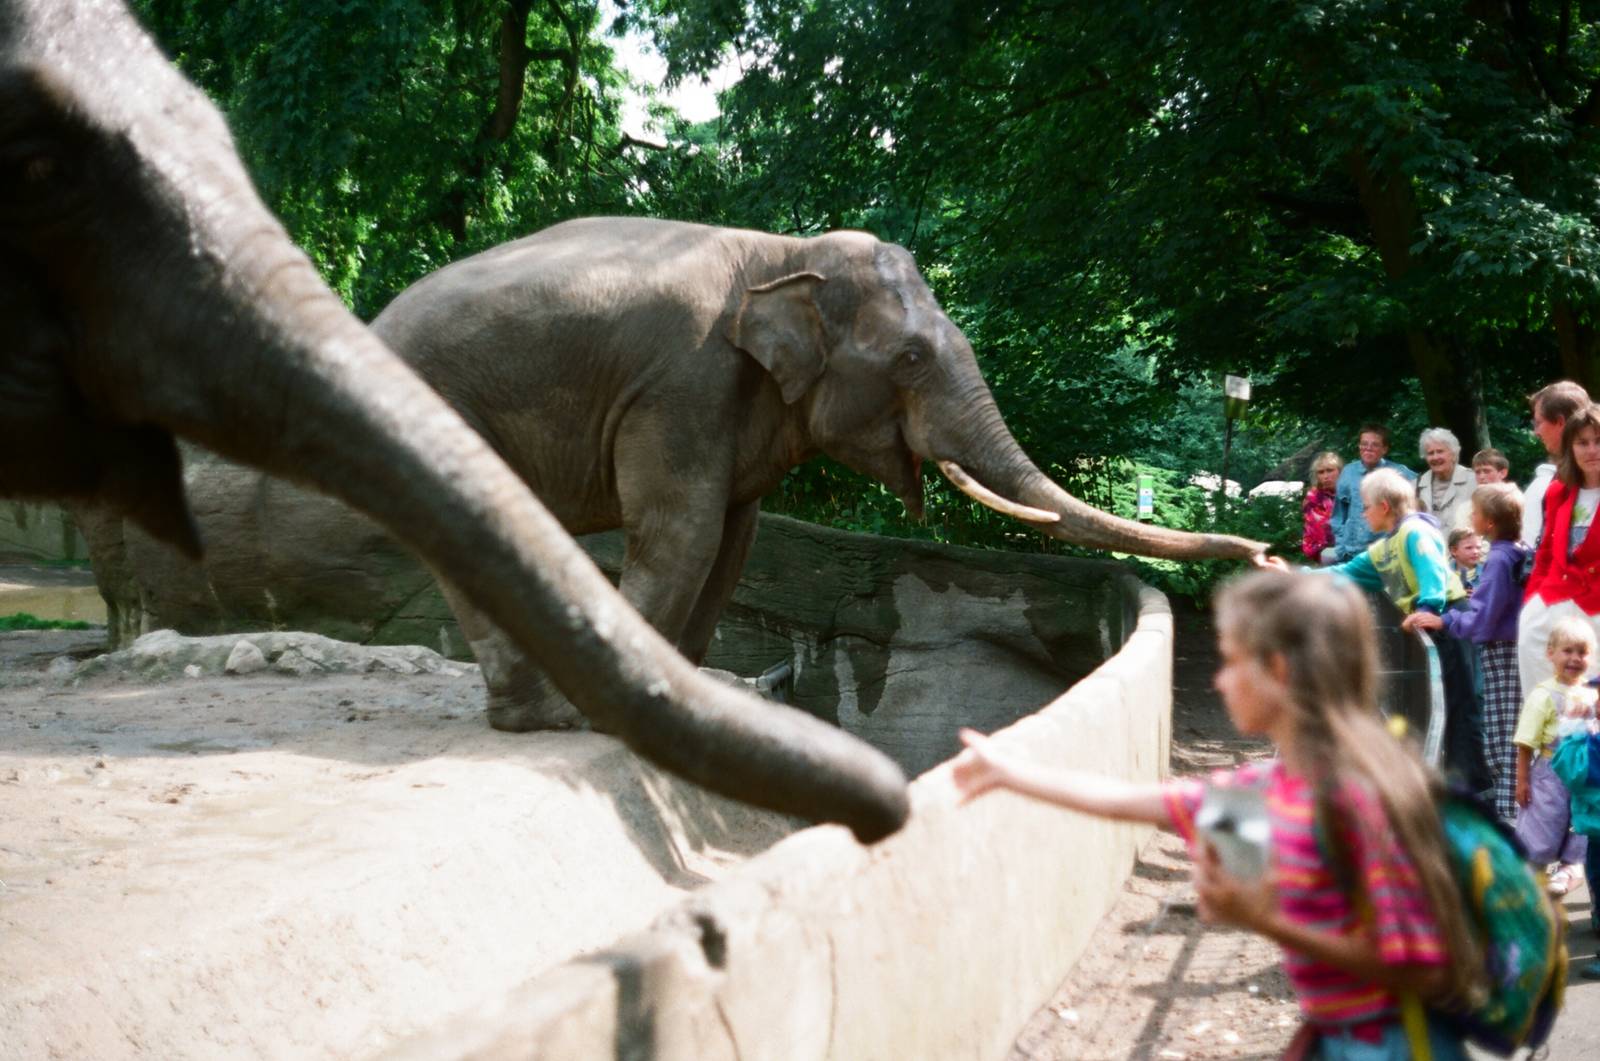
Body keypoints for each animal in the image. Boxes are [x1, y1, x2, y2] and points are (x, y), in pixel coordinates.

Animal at [367, 216, 1267, 730]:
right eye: (911, 358)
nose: (1263, 554)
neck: (780, 254)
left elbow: (733, 537)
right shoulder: (682, 378)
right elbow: (681, 532)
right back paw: (544, 715)